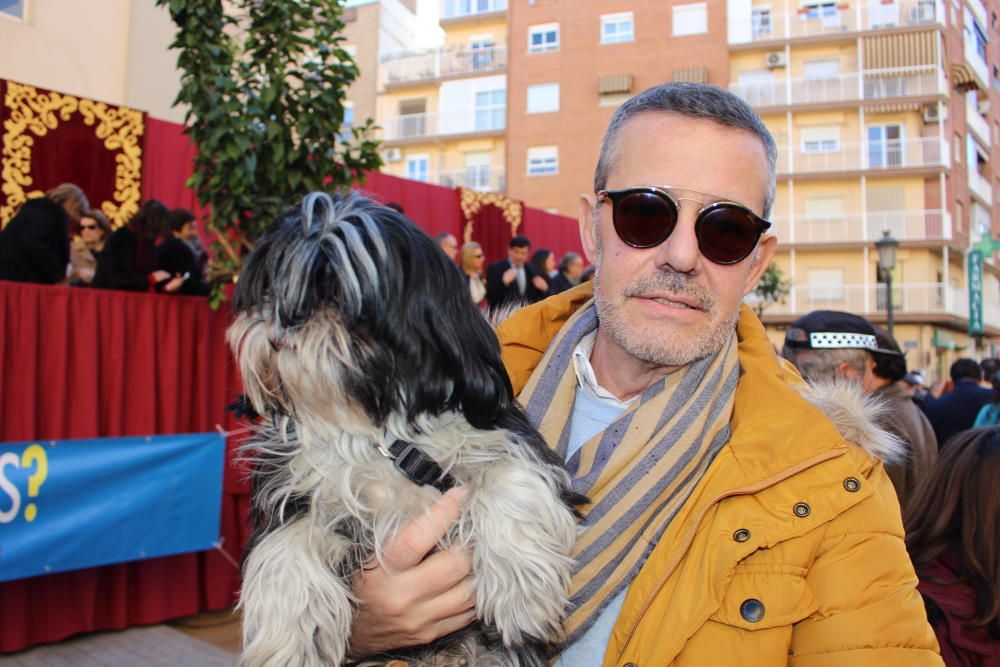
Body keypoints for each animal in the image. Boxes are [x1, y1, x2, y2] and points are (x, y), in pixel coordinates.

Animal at [229, 190, 580, 664]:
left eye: (341, 295)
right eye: (271, 287)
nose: (286, 315)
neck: (378, 432)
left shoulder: (504, 435)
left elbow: (507, 474)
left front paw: (521, 587)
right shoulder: (294, 485)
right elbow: (284, 547)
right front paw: (285, 645)